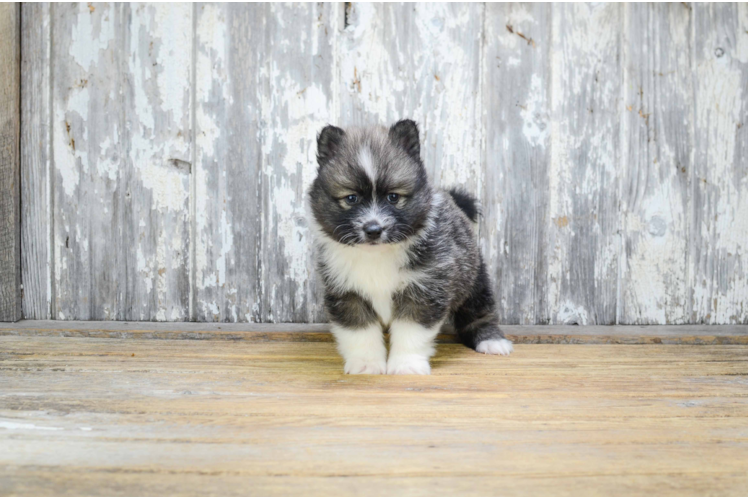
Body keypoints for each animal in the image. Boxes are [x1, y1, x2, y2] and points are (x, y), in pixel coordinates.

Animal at [306, 119, 512, 374]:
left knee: (479, 311)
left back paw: (491, 340)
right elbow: (360, 333)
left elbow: (411, 332)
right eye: (351, 198)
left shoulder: (424, 290)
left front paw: (407, 365)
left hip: (473, 278)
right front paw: (366, 364)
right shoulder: (347, 293)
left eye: (393, 197)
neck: (376, 254)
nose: (373, 229)